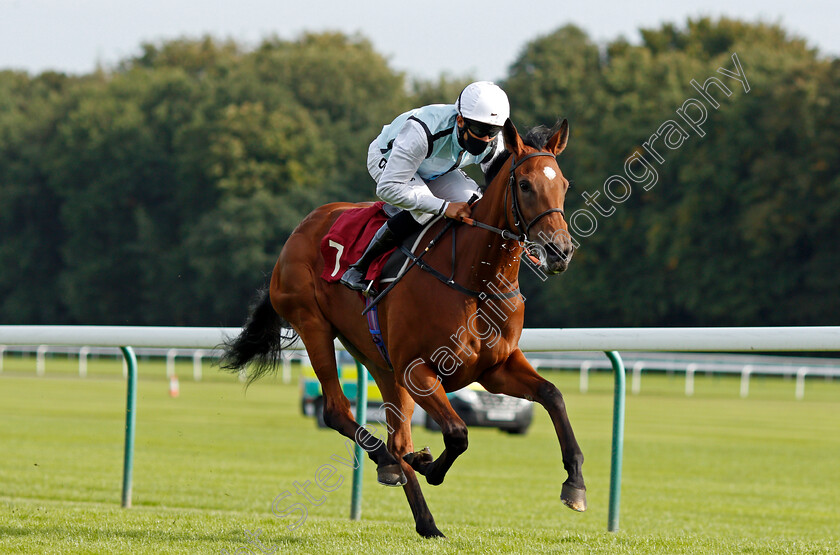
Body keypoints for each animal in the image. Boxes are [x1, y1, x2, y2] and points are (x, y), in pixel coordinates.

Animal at [221, 118, 584, 540]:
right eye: (524, 185)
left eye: (563, 184)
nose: (560, 251)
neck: (474, 280)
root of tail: (302, 227)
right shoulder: (417, 368)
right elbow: (457, 433)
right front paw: (428, 465)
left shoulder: (494, 368)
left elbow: (553, 394)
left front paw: (575, 485)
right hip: (313, 325)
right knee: (337, 413)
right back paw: (389, 463)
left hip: (379, 359)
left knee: (396, 437)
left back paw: (426, 520)